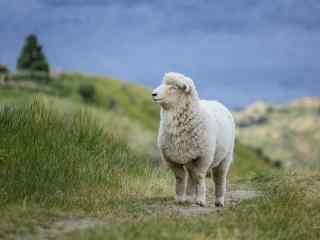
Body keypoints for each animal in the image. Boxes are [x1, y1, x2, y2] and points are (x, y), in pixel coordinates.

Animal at [152, 71, 235, 206]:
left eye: (173, 88)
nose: (153, 94)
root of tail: (217, 102)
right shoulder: (171, 158)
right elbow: (180, 177)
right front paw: (179, 198)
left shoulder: (203, 156)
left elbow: (200, 177)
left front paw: (201, 200)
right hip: (190, 158)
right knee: (191, 175)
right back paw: (189, 197)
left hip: (225, 156)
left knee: (219, 177)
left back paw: (219, 200)